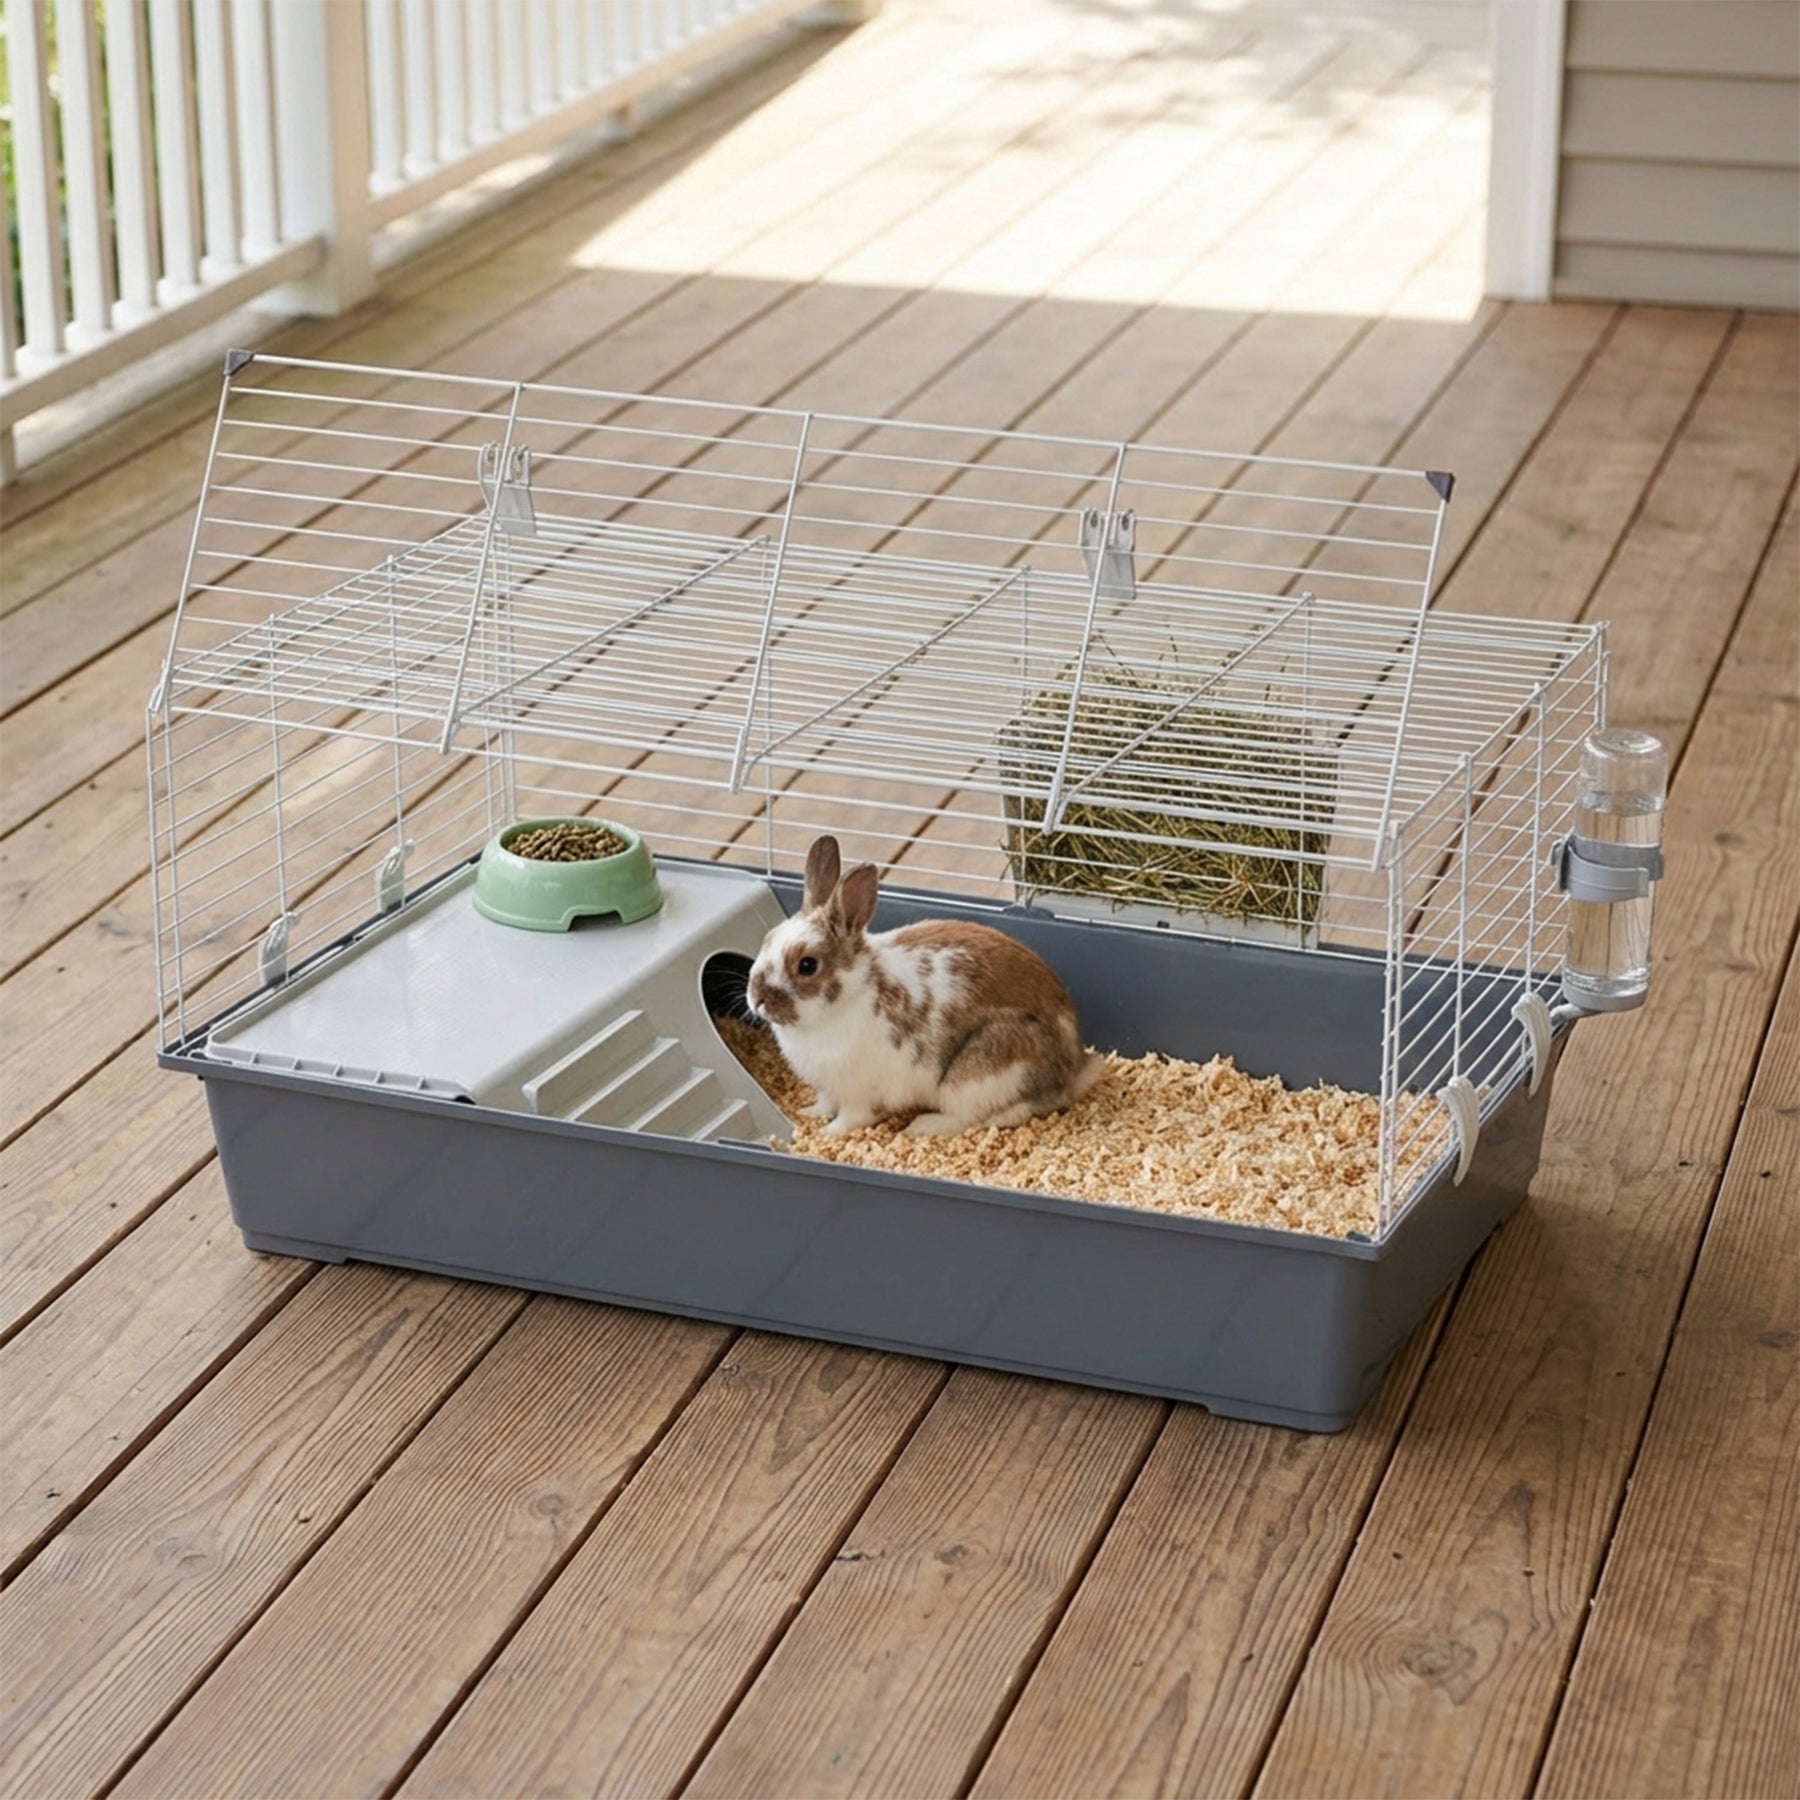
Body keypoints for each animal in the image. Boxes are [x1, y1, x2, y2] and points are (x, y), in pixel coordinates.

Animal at [746, 835, 1105, 1138]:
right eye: (767, 939)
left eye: (807, 965)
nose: (757, 999)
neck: (848, 997)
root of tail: (1071, 1070)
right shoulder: (829, 1087)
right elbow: (825, 1102)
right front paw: (809, 1113)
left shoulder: (856, 1095)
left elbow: (851, 1119)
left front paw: (826, 1134)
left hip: (978, 1075)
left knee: (985, 1116)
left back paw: (923, 1126)